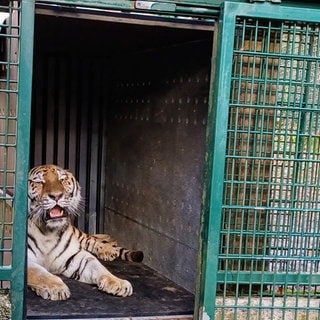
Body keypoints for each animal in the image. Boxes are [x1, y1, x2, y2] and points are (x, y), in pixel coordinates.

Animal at [27, 165, 142, 300]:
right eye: (39, 182)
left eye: (62, 180)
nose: (56, 196)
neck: (48, 232)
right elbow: (39, 273)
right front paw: (56, 288)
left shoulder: (75, 256)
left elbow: (99, 267)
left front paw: (118, 282)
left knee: (93, 240)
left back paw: (108, 250)